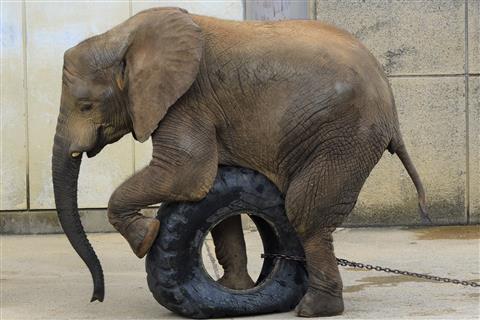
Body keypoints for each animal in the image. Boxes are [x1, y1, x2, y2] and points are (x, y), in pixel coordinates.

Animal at [52, 7, 428, 318]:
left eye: (86, 106)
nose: (96, 298)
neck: (124, 37)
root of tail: (390, 98)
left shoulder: (187, 100)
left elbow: (186, 172)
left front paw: (145, 238)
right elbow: (214, 190)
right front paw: (236, 293)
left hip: (345, 134)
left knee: (304, 212)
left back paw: (315, 308)